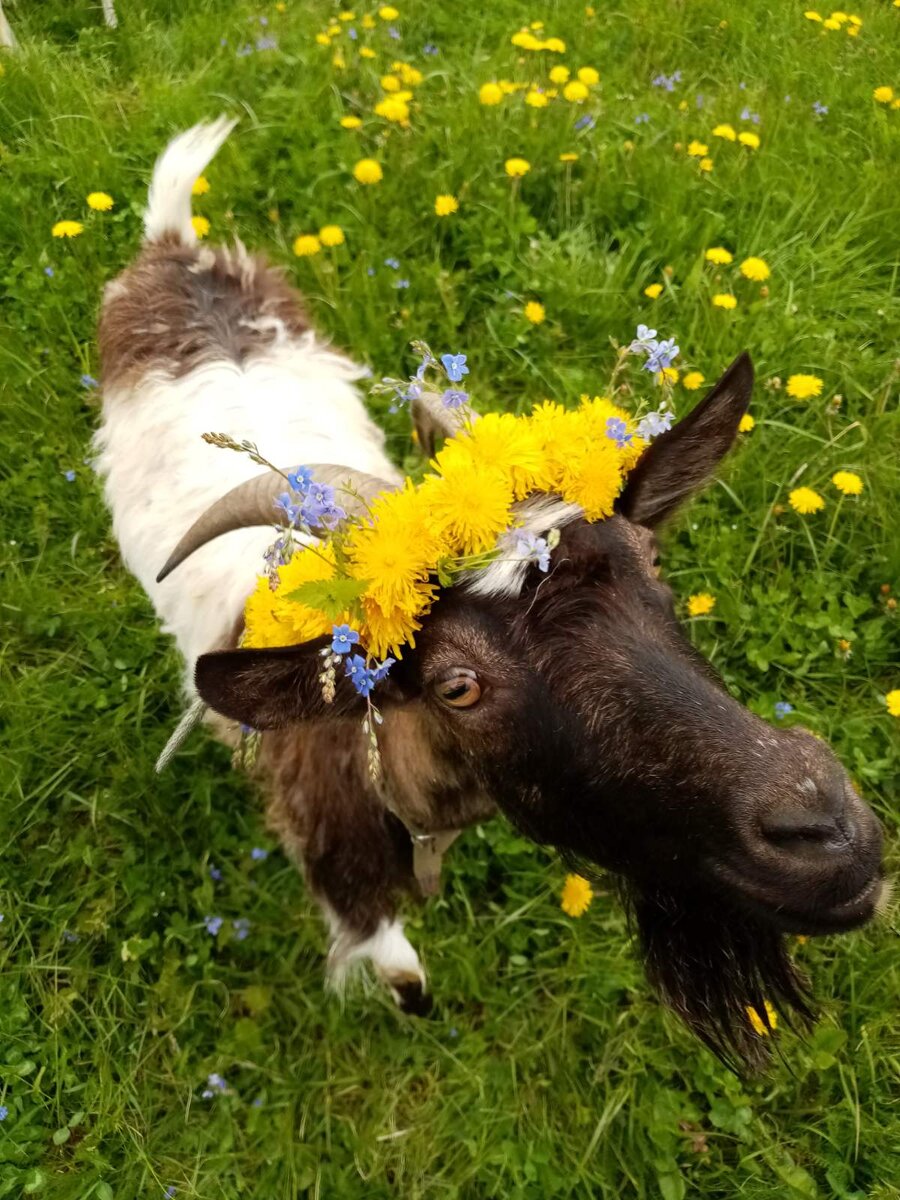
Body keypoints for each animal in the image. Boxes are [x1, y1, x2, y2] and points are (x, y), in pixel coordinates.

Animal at [95, 121, 883, 1070]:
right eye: (456, 685)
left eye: (654, 567)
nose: (827, 834)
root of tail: (175, 251)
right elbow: (391, 960)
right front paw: (406, 991)